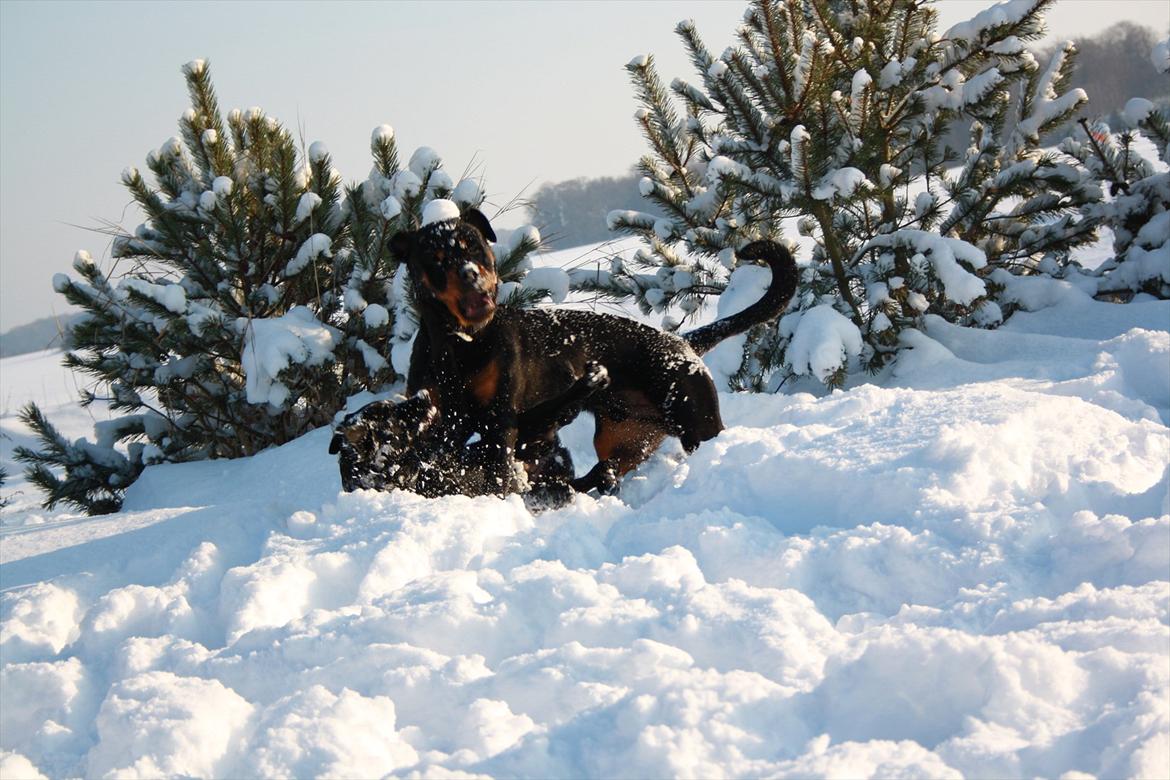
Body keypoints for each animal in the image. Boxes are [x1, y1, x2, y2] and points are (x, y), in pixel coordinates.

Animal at [390, 205, 795, 493]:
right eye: (436, 260)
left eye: (475, 247)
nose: (470, 274)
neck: (460, 345)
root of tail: (683, 343)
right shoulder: (438, 416)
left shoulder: (499, 419)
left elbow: (498, 473)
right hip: (624, 436)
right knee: (605, 470)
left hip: (697, 420)